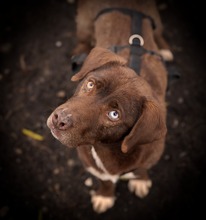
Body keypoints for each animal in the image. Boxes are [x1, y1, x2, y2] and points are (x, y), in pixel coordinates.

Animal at [47, 0, 171, 213]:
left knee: (160, 32)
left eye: (114, 114)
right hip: (84, 23)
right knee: (83, 38)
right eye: (89, 84)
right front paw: (105, 196)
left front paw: (140, 180)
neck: (107, 148)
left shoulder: (150, 155)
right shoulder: (92, 163)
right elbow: (105, 180)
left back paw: (164, 50)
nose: (59, 119)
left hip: (156, 19)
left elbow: (142, 169)